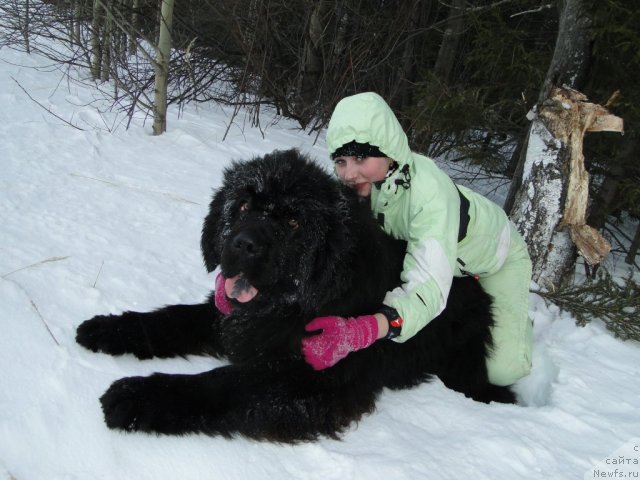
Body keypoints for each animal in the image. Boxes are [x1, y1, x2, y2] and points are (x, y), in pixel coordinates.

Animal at [76, 149, 516, 442]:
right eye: (242, 205)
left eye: (292, 222)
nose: (243, 244)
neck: (304, 300)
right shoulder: (234, 318)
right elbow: (170, 318)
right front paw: (107, 329)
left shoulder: (308, 381)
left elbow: (222, 383)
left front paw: (136, 395)